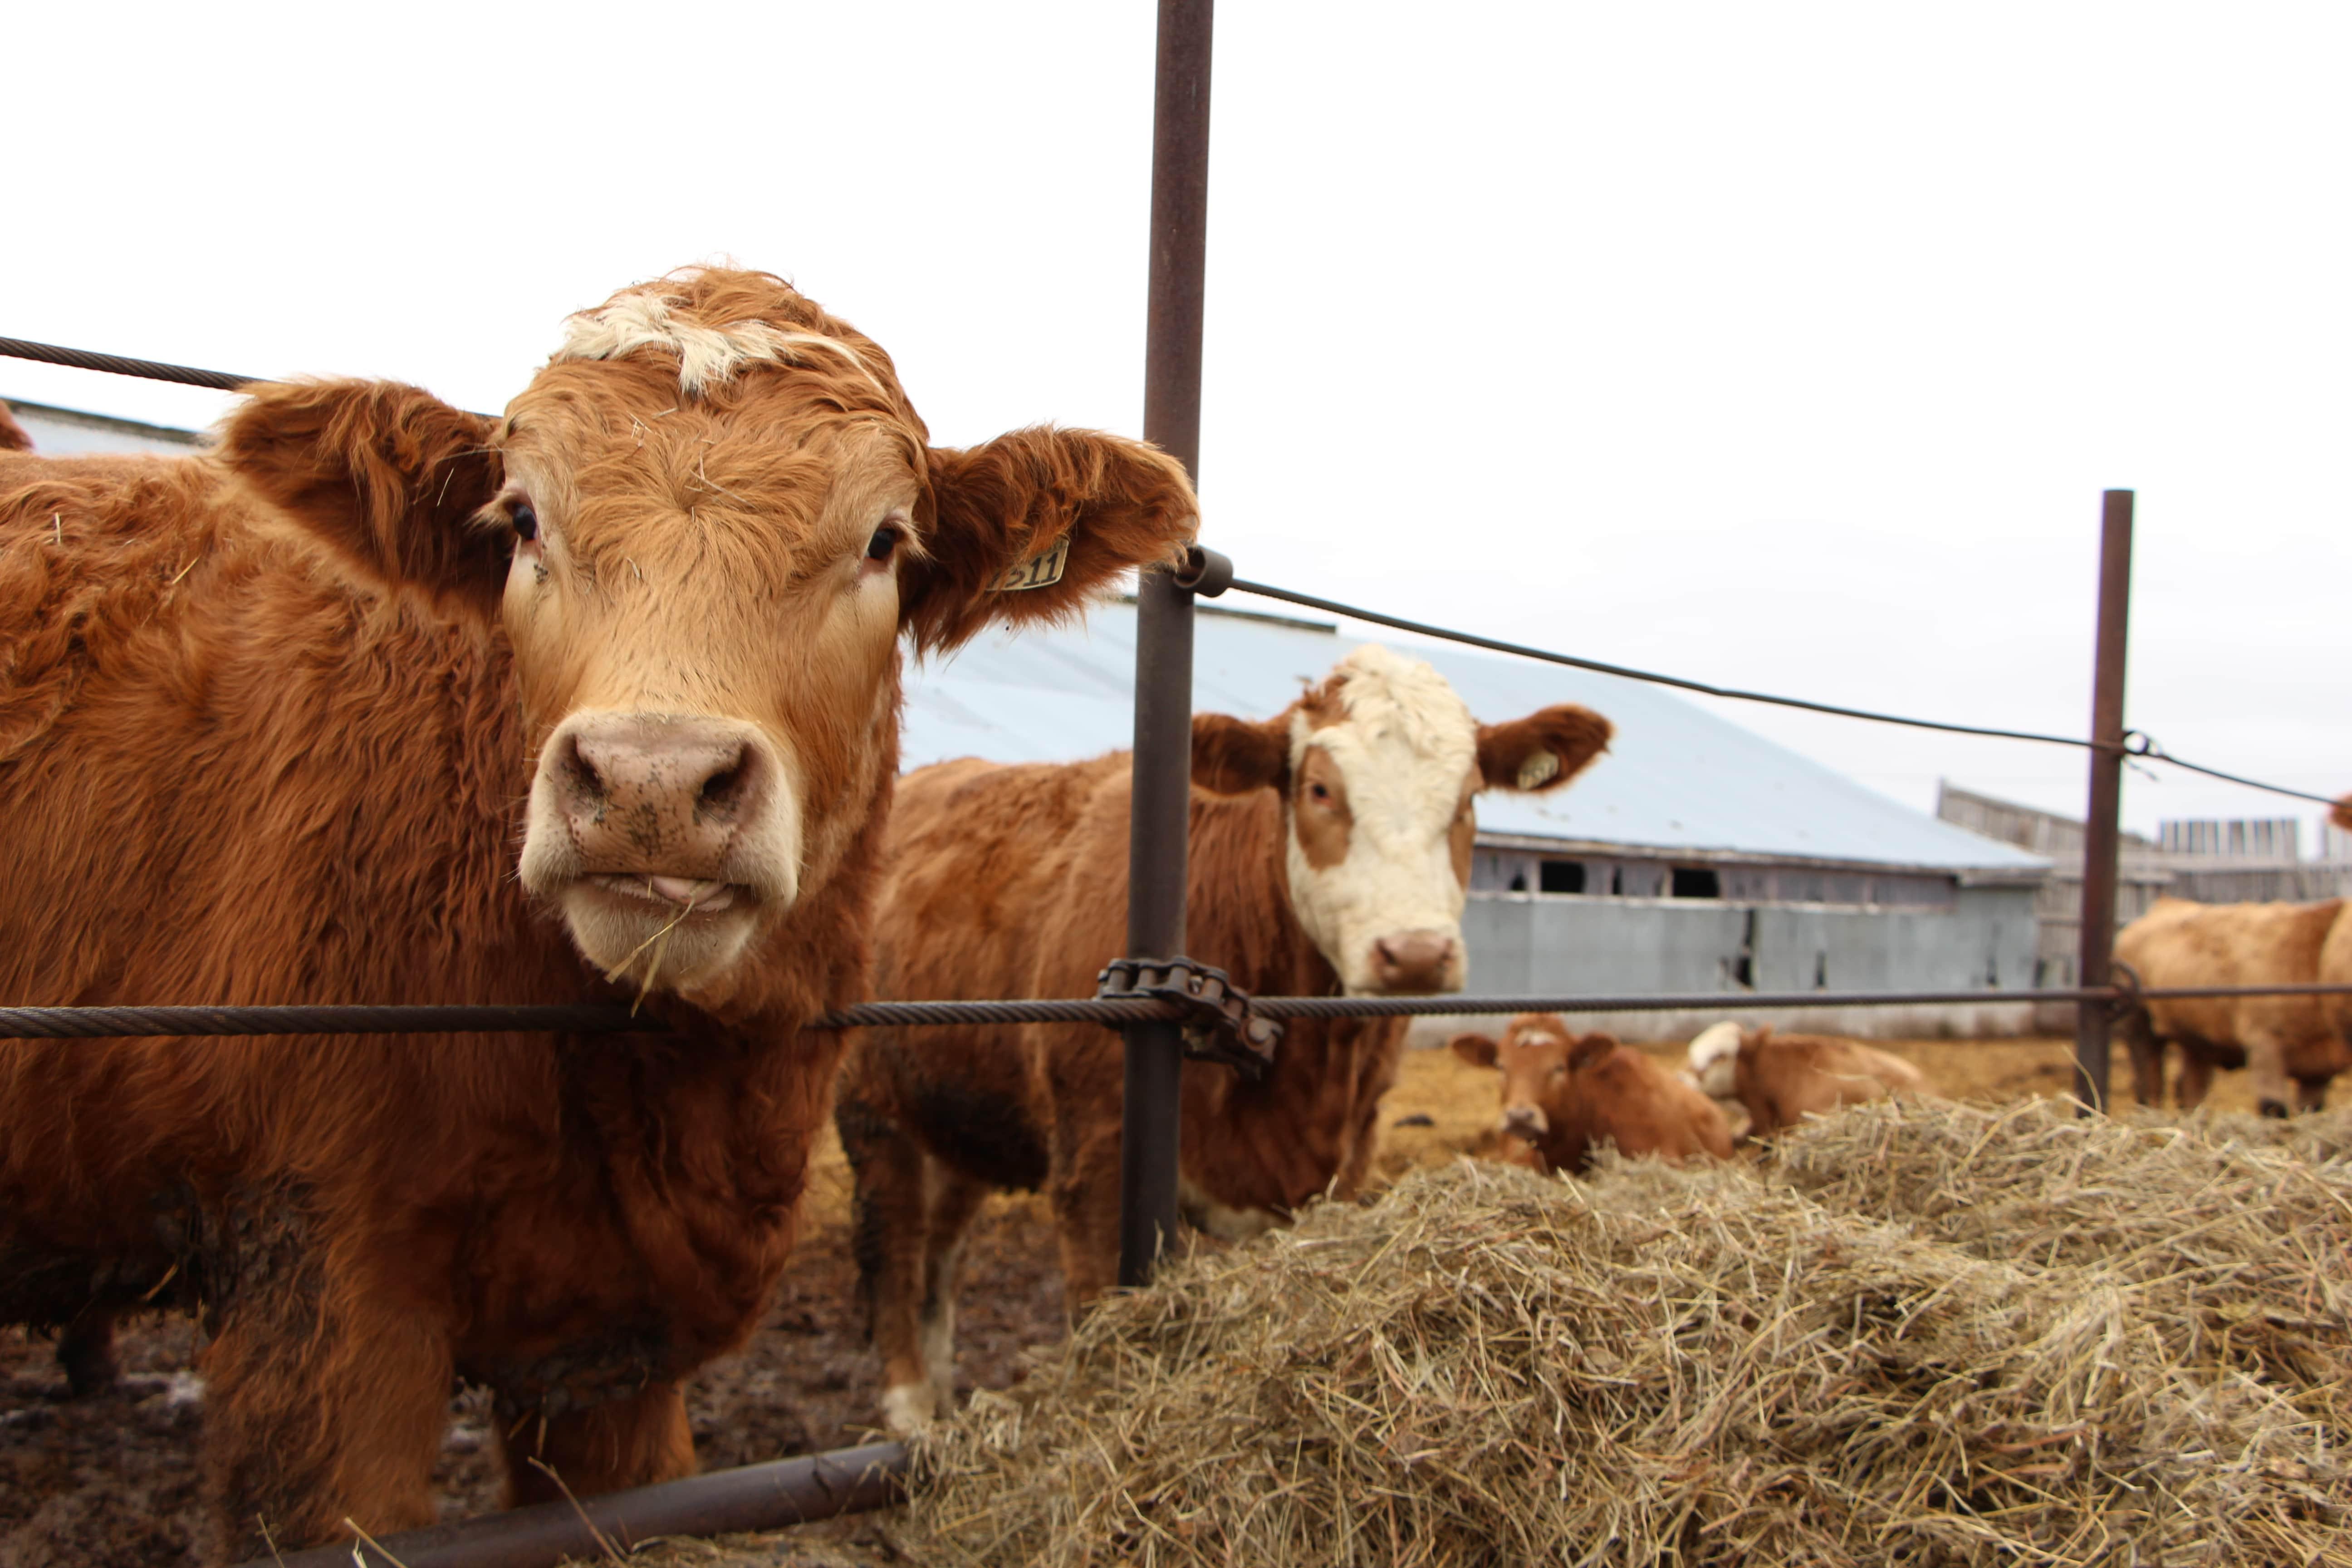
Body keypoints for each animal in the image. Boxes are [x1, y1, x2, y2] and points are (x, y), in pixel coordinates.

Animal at [833, 639, 1618, 1439]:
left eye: (1468, 798)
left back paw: (942, 1399)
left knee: (940, 1253)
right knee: (892, 1245)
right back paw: (911, 1412)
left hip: (956, 1115)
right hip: (872, 1108)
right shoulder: (1093, 1157)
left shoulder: (1340, 1161)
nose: (1417, 953)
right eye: (1319, 790)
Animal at [2117, 893, 2352, 1114]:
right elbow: (2274, 1108)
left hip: (2196, 1043)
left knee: (2189, 1088)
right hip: (2139, 1026)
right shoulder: (2263, 1046)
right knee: (2149, 1085)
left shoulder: (2318, 1074)